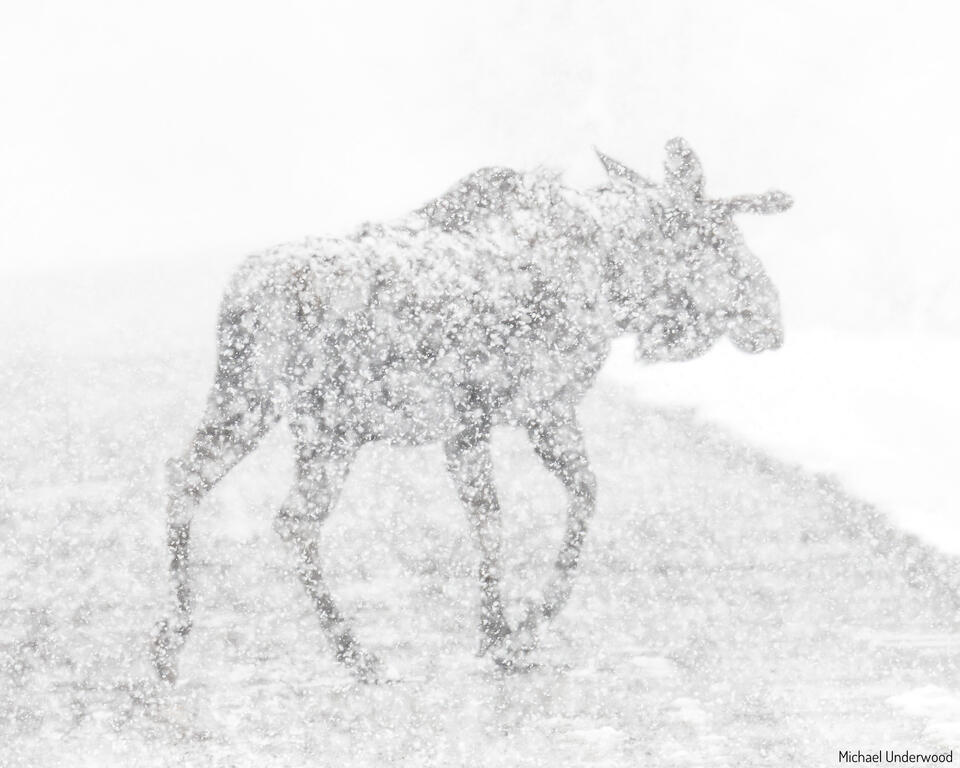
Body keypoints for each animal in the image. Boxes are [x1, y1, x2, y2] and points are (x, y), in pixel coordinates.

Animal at [151, 138, 793, 683]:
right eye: (723, 241)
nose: (773, 321)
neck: (614, 278)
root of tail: (238, 297)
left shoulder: (484, 423)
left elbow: (513, 512)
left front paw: (497, 633)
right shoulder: (533, 408)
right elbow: (547, 507)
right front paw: (516, 635)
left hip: (283, 414)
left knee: (227, 495)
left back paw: (191, 644)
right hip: (293, 415)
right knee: (244, 502)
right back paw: (328, 654)